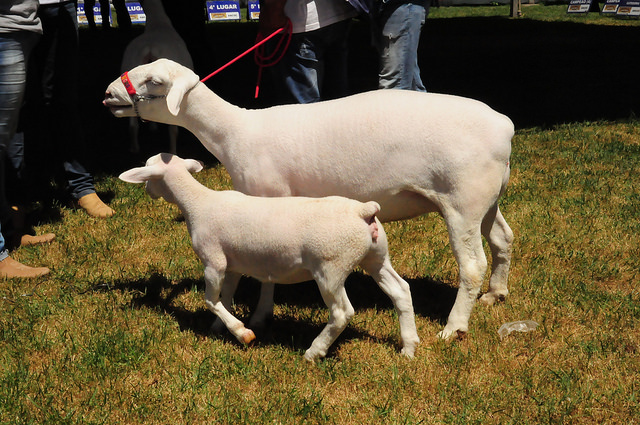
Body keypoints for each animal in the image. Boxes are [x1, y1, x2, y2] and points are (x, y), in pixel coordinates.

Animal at [105, 58, 516, 340]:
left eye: (154, 81)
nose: (108, 93)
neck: (232, 131)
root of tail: (505, 125)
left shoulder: (267, 197)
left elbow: (264, 270)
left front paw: (255, 318)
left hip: (462, 201)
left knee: (472, 265)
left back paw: (454, 327)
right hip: (486, 199)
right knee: (503, 239)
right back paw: (496, 294)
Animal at [119, 0, 191, 153]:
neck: (158, 23)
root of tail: (150, 49)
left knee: (132, 124)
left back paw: (134, 148)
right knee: (172, 129)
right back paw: (173, 152)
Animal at [119, 153, 420, 362]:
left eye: (148, 174)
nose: (147, 192)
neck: (198, 202)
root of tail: (364, 211)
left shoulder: (213, 261)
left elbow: (211, 300)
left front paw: (242, 333)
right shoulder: (233, 264)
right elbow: (226, 296)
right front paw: (218, 328)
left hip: (331, 267)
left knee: (341, 313)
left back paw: (313, 352)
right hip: (376, 256)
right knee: (400, 291)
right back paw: (409, 347)